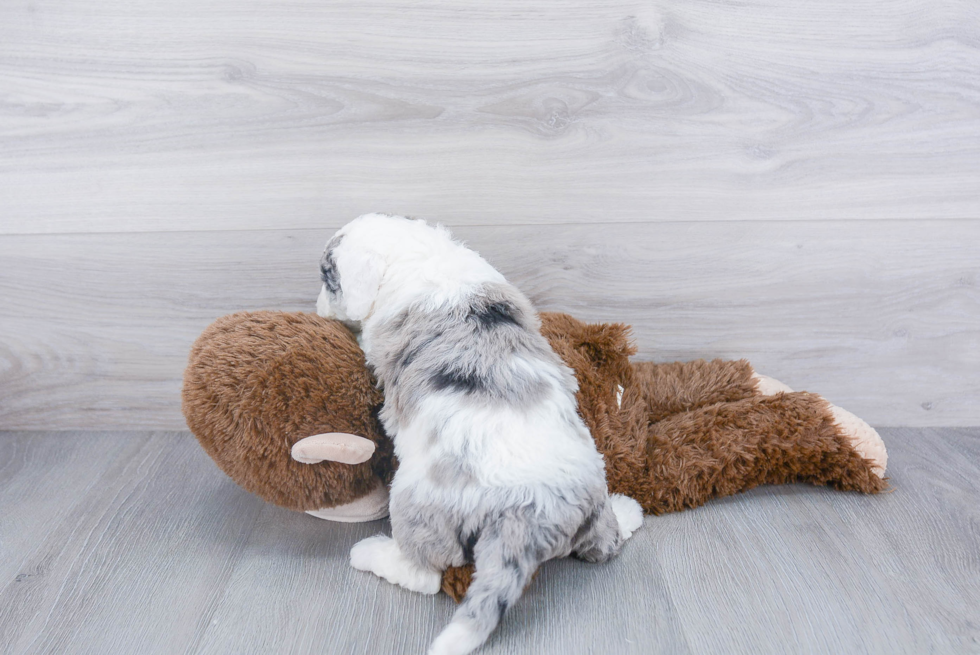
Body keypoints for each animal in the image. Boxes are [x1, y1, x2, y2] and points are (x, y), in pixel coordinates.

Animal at [318, 215, 648, 655]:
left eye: (328, 277)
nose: (318, 307)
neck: (418, 253)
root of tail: (531, 511)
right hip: (591, 490)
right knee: (603, 543)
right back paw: (627, 511)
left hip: (414, 502)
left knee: (425, 573)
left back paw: (370, 553)